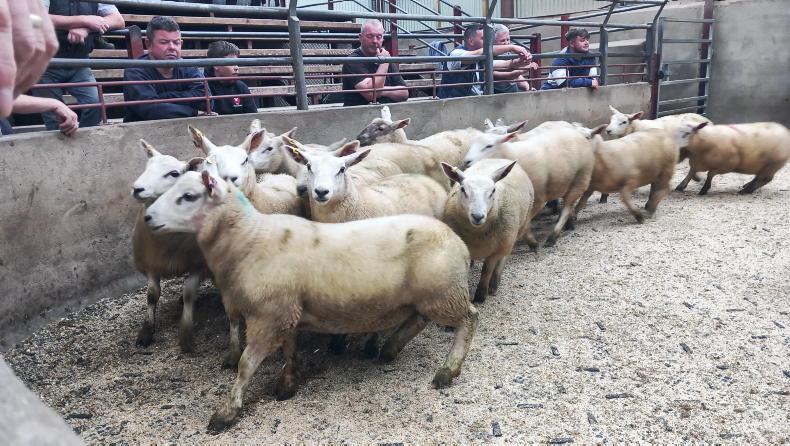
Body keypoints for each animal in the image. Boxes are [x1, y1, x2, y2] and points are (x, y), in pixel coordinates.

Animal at [131, 140, 211, 353]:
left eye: (174, 173)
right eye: (146, 167)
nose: (137, 189)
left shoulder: (198, 265)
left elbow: (189, 292)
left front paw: (186, 329)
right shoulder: (151, 264)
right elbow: (152, 295)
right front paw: (146, 332)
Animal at [144, 169, 479, 432]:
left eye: (188, 196)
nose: (147, 217)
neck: (248, 239)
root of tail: (459, 242)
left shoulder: (269, 315)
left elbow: (246, 365)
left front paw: (226, 412)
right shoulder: (286, 312)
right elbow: (290, 349)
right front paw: (287, 384)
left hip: (444, 292)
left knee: (469, 318)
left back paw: (448, 370)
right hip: (426, 295)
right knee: (419, 320)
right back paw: (390, 348)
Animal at [441, 159, 534, 303]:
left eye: (493, 191)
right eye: (463, 189)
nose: (477, 216)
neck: (477, 233)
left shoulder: (496, 250)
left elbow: (486, 270)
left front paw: (480, 294)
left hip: (515, 232)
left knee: (504, 257)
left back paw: (494, 284)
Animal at [463, 126, 594, 247]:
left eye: (489, 146)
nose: (466, 161)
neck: (512, 155)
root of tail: (577, 133)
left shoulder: (537, 198)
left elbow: (525, 222)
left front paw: (531, 242)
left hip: (581, 178)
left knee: (567, 207)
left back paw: (553, 236)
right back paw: (569, 224)